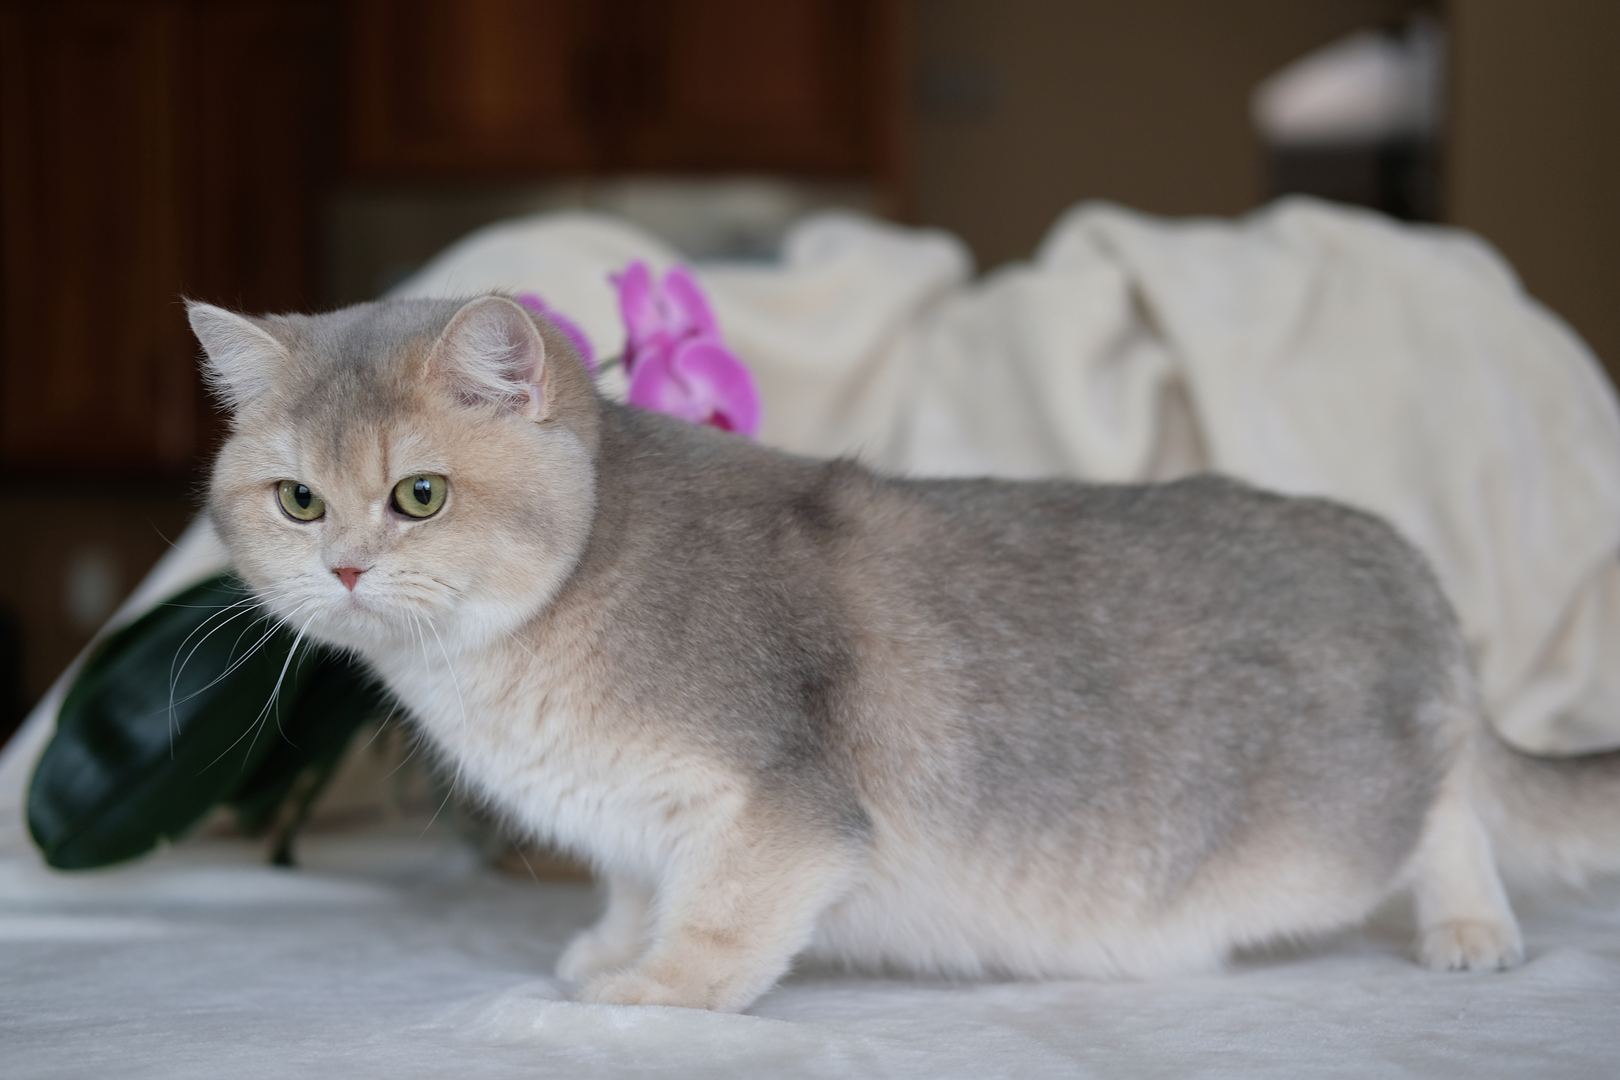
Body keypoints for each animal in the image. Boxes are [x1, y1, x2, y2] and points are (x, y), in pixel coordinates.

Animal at [189, 293, 1620, 1016]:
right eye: (299, 501)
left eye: (419, 496)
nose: (346, 568)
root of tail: (1400, 553)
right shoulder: (638, 827)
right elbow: (638, 888)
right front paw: (607, 951)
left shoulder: (782, 811)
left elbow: (714, 921)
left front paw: (643, 997)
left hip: (1341, 820)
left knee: (1450, 806)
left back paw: (1472, 927)